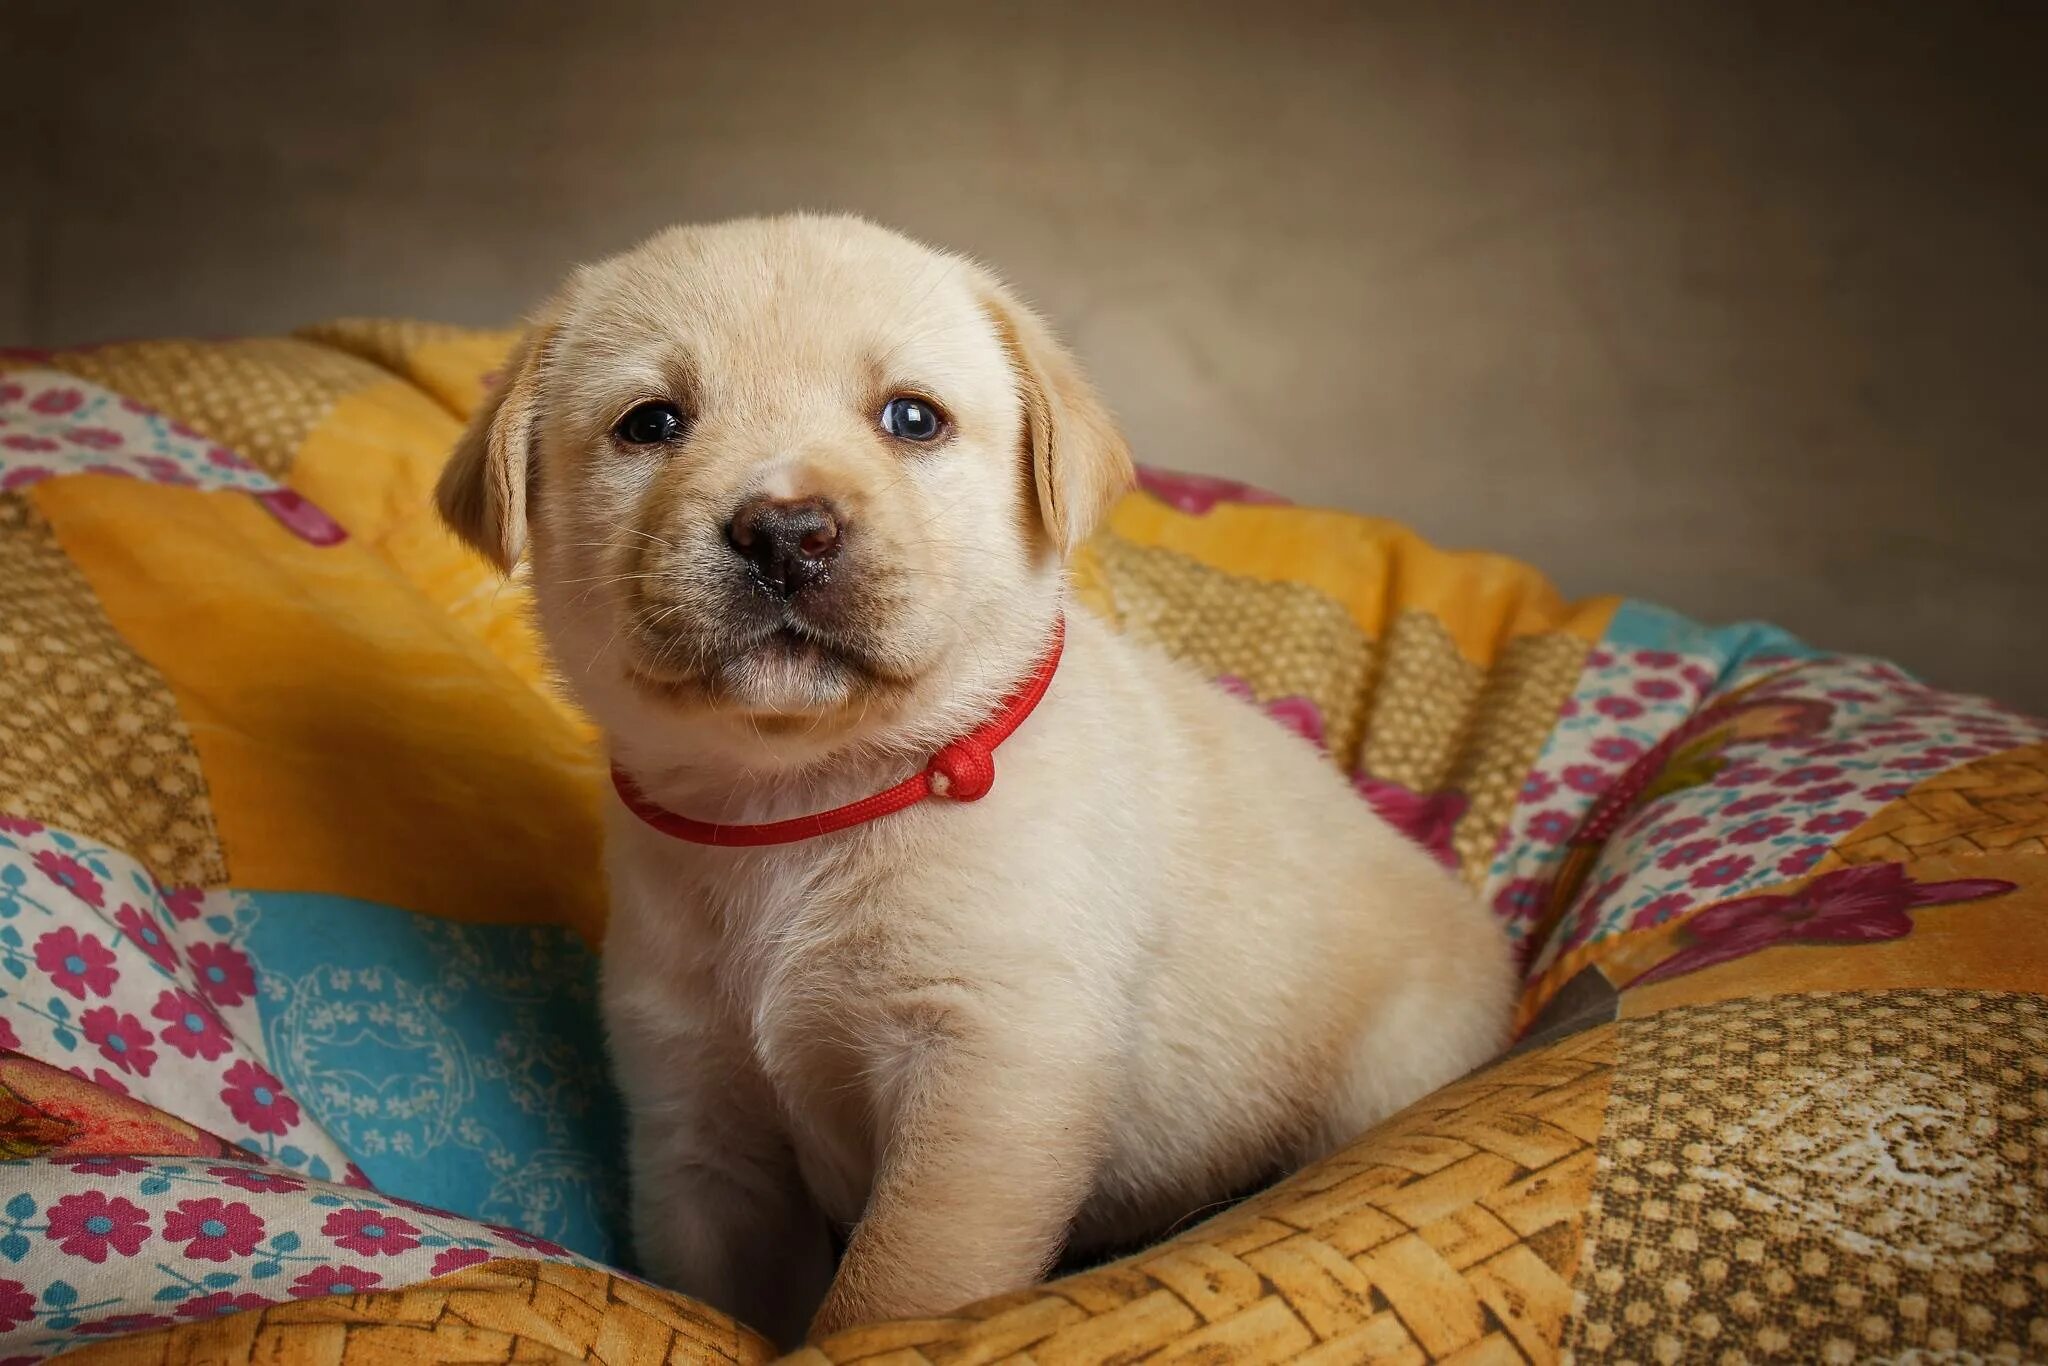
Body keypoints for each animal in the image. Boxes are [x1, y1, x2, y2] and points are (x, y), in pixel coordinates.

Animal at [436, 216, 1523, 1343]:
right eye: (650, 422)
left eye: (912, 417)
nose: (785, 532)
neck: (803, 796)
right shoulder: (697, 1120)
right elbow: (734, 1302)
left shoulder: (989, 1078)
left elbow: (891, 1296)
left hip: (1387, 1068)